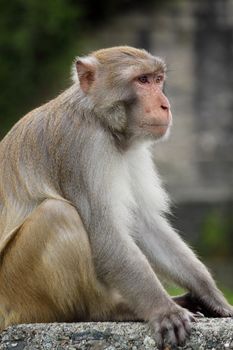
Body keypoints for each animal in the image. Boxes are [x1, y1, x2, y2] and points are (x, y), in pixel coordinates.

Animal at [0, 47, 231, 350]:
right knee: (56, 213)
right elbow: (105, 233)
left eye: (158, 79)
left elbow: (144, 225)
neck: (102, 121)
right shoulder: (83, 148)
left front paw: (210, 294)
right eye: (142, 80)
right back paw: (110, 309)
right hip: (18, 291)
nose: (165, 105)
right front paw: (164, 310)